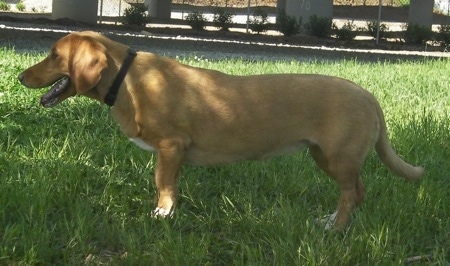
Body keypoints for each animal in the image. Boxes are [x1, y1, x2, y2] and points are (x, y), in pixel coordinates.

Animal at [18, 31, 426, 230]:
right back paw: (332, 222)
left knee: (350, 195)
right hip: (325, 157)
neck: (126, 79)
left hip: (338, 159)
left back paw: (335, 228)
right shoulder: (173, 154)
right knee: (357, 193)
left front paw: (161, 216)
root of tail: (368, 96)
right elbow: (171, 186)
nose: (21, 76)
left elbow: (162, 187)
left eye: (54, 55)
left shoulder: (171, 148)